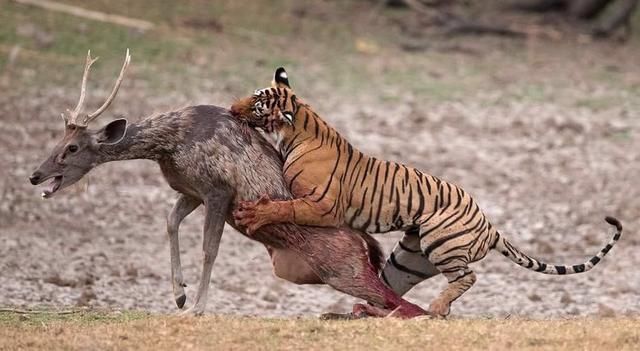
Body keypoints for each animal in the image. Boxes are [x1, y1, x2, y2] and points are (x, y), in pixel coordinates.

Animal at [31, 50, 430, 320]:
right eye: (57, 139)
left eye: (72, 147)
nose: (35, 174)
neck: (170, 144)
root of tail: (366, 245)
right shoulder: (190, 190)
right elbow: (170, 223)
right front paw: (179, 295)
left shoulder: (217, 189)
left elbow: (210, 249)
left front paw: (196, 307)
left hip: (346, 270)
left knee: (406, 303)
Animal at [229, 66, 620, 320]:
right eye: (253, 94)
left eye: (258, 104)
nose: (232, 109)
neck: (297, 129)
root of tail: (489, 225)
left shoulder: (322, 206)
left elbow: (285, 208)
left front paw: (255, 214)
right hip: (408, 260)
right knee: (389, 293)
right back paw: (363, 312)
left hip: (440, 243)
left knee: (467, 277)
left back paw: (436, 308)